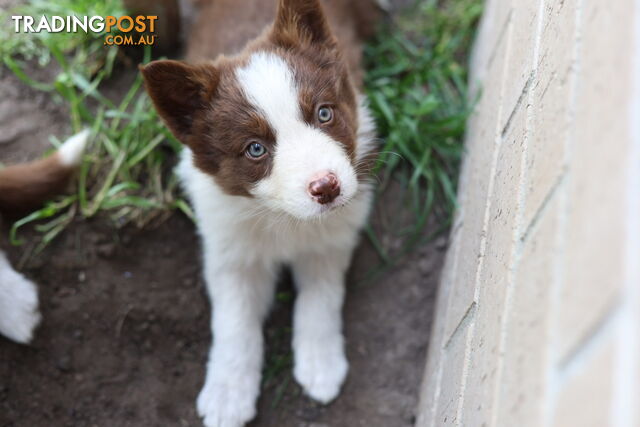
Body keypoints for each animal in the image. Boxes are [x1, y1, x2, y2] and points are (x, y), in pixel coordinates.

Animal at [141, 0, 380, 427]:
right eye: (255, 149)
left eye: (324, 114)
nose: (327, 187)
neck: (282, 217)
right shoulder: (229, 248)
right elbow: (234, 321)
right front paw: (227, 394)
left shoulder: (333, 236)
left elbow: (321, 295)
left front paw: (321, 365)